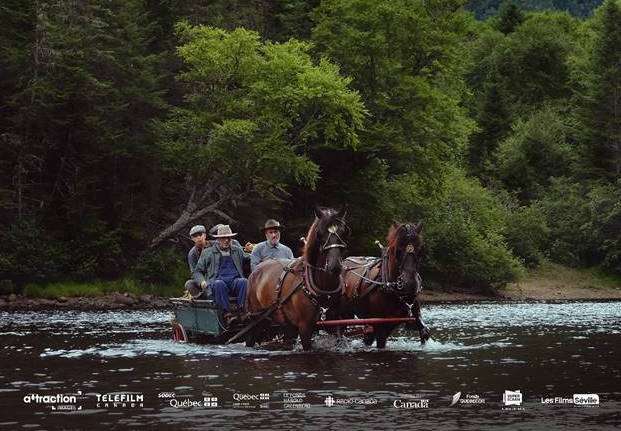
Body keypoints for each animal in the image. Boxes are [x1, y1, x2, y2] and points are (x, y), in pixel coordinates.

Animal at [243, 208, 348, 352]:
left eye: (343, 231)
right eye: (319, 234)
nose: (335, 266)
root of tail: (255, 271)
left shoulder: (337, 324)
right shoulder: (305, 327)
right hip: (255, 319)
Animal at [340, 221, 432, 350]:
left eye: (420, 250)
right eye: (397, 249)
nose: (409, 284)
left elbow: (423, 331)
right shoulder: (380, 327)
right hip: (344, 314)